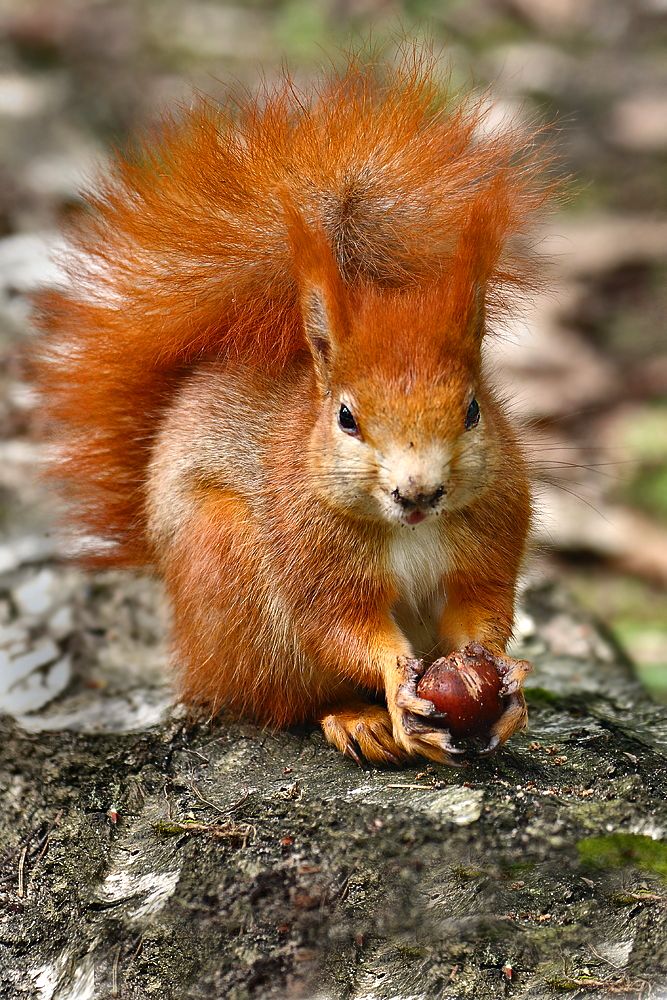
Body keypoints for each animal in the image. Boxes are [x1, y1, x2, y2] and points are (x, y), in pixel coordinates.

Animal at [34, 48, 552, 764]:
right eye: (346, 418)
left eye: (473, 410)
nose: (419, 493)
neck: (409, 530)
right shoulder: (311, 560)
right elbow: (340, 629)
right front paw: (397, 688)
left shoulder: (488, 542)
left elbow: (483, 610)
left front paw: (507, 684)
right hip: (231, 574)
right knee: (281, 701)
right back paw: (356, 717)